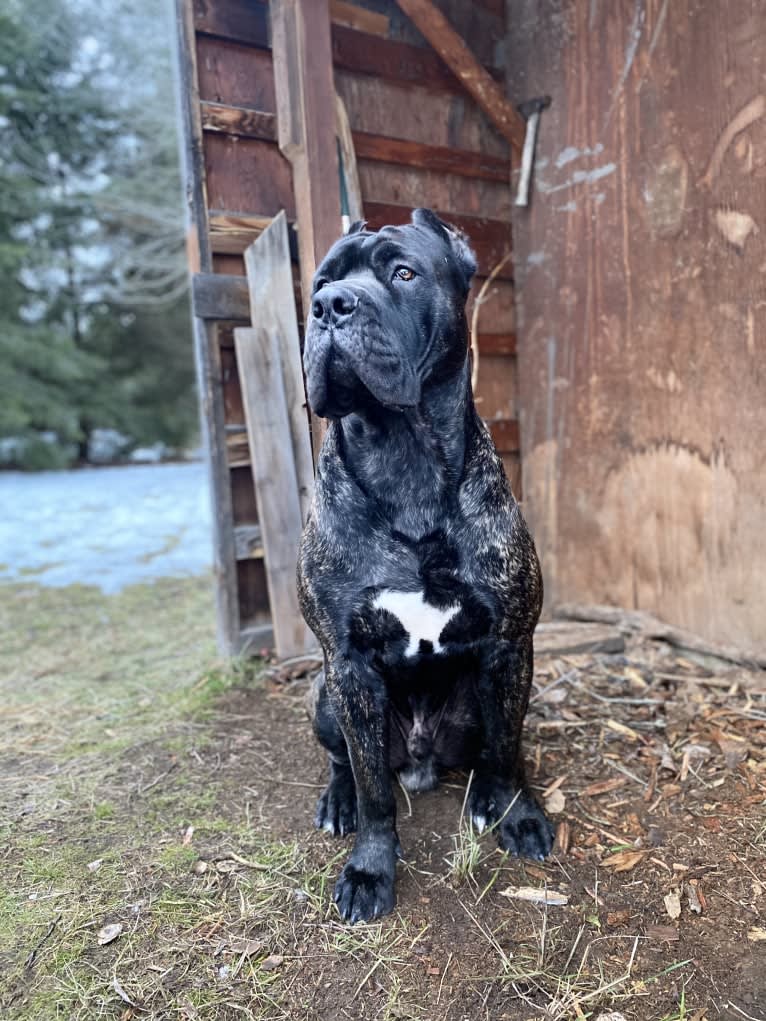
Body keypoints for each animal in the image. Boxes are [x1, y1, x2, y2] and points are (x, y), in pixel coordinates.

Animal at [296, 209, 555, 927]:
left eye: (404, 273)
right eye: (320, 283)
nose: (331, 305)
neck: (403, 456)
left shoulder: (509, 647)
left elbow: (508, 750)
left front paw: (519, 815)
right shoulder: (348, 664)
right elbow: (374, 793)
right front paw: (370, 866)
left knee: (491, 752)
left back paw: (486, 798)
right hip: (324, 695)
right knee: (349, 764)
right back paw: (339, 802)